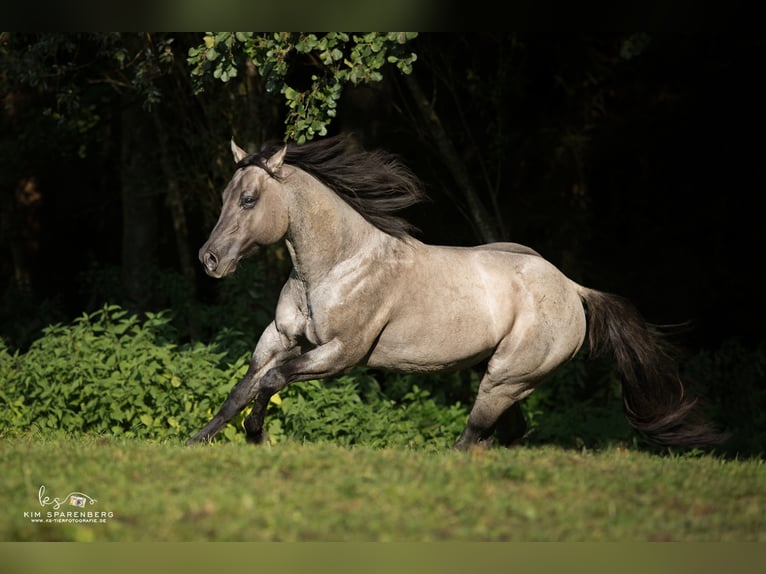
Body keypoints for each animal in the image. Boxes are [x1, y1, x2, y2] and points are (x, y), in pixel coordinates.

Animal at [187, 134, 725, 450]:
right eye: (224, 196)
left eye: (249, 199)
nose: (209, 260)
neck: (337, 265)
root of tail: (573, 288)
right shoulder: (279, 338)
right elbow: (243, 388)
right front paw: (199, 441)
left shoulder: (341, 354)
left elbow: (274, 382)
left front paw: (256, 437)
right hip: (509, 383)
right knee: (502, 436)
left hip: (504, 379)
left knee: (472, 438)